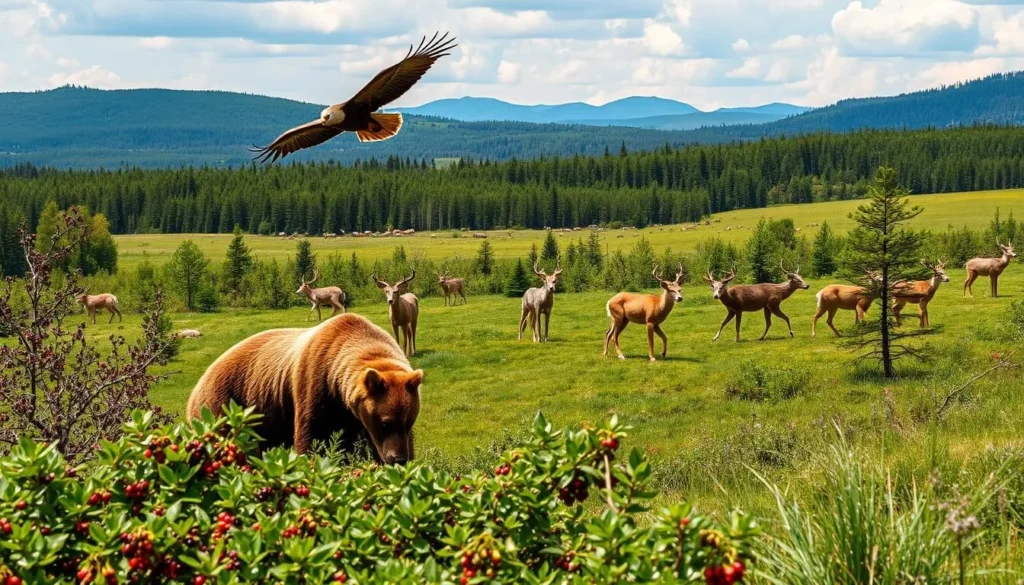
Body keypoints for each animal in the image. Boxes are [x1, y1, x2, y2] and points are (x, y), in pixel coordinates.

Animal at [186, 313, 423, 463]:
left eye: (410, 420)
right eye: (385, 422)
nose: (398, 459)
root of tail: (196, 387)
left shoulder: (356, 415)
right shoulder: (316, 382)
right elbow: (310, 435)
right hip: (223, 406)